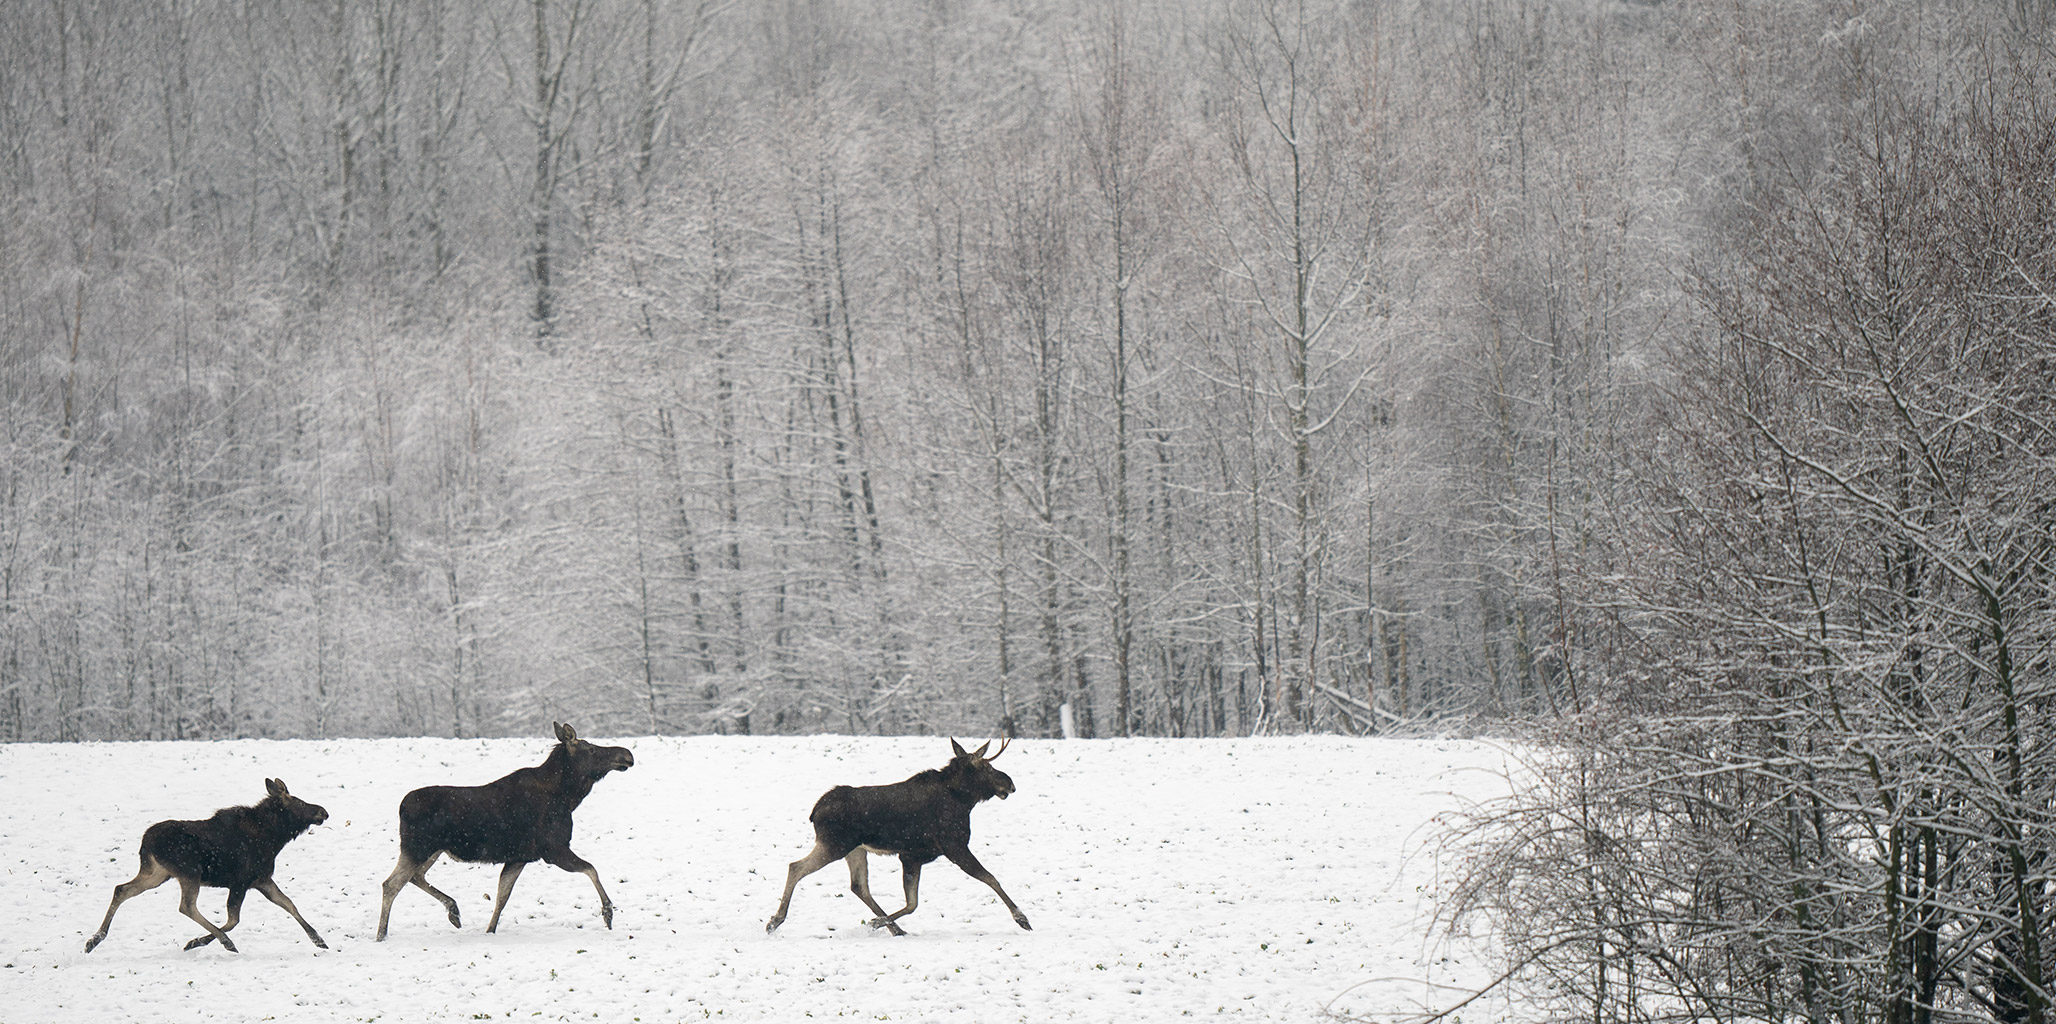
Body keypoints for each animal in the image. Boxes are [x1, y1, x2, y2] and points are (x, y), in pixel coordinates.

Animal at [85, 781, 328, 954]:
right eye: (299, 802)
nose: (323, 811)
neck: (274, 839)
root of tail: (146, 842)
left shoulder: (262, 880)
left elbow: (289, 904)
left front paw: (318, 940)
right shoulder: (240, 881)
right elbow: (233, 919)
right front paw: (199, 941)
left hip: (158, 873)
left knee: (122, 889)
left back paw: (94, 939)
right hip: (189, 872)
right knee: (186, 906)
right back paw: (225, 941)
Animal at [378, 715, 629, 941]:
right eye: (592, 750)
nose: (627, 754)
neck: (569, 797)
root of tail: (401, 807)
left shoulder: (519, 857)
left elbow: (502, 896)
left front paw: (490, 930)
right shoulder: (554, 850)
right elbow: (591, 869)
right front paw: (608, 913)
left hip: (432, 850)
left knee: (414, 876)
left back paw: (453, 911)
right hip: (418, 847)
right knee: (391, 884)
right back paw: (382, 935)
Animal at [768, 736, 1036, 937]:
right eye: (988, 767)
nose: (1010, 783)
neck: (964, 800)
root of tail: (814, 812)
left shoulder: (912, 855)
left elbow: (912, 902)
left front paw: (879, 922)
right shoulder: (953, 846)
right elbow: (991, 878)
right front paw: (1022, 918)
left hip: (856, 849)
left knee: (858, 885)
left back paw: (895, 928)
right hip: (835, 845)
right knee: (796, 867)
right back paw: (774, 921)